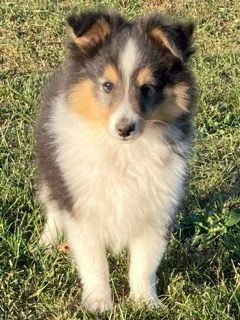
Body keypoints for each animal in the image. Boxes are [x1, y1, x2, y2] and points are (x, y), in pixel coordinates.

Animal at [36, 9, 197, 312]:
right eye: (108, 85)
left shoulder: (157, 207)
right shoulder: (82, 208)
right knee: (52, 204)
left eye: (148, 87)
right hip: (53, 167)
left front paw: (146, 304)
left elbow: (144, 264)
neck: (124, 154)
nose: (125, 129)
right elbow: (94, 263)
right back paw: (46, 242)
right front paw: (98, 304)